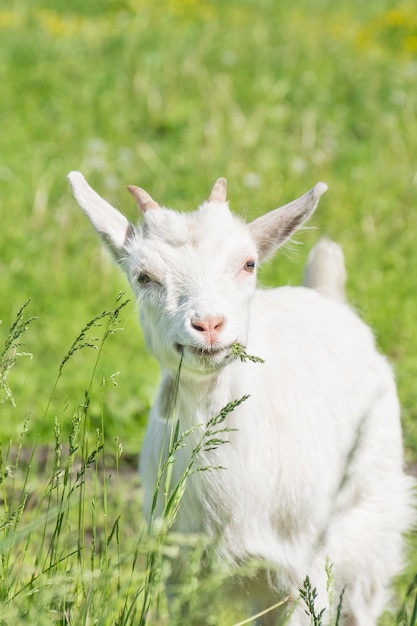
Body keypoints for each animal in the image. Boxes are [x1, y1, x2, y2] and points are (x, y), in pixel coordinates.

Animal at [68, 173, 412, 624]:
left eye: (248, 264)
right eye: (143, 276)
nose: (209, 324)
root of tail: (324, 292)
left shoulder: (304, 567)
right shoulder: (182, 570)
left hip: (370, 524)